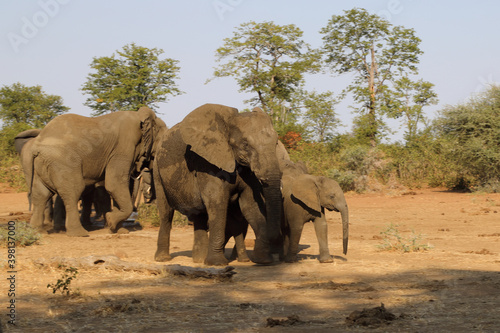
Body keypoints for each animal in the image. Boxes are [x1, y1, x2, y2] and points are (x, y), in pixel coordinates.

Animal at [23, 106, 162, 236]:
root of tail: (36, 146)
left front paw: (119, 230)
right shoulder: (123, 147)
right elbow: (114, 184)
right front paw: (111, 222)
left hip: (41, 165)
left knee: (41, 195)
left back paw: (38, 231)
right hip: (63, 163)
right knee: (73, 191)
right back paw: (80, 233)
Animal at [153, 103, 282, 264]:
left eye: (276, 143)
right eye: (245, 144)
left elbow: (250, 204)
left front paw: (263, 261)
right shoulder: (207, 163)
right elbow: (217, 201)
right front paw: (217, 263)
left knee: (199, 214)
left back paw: (199, 260)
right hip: (157, 171)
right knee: (166, 213)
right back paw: (163, 259)